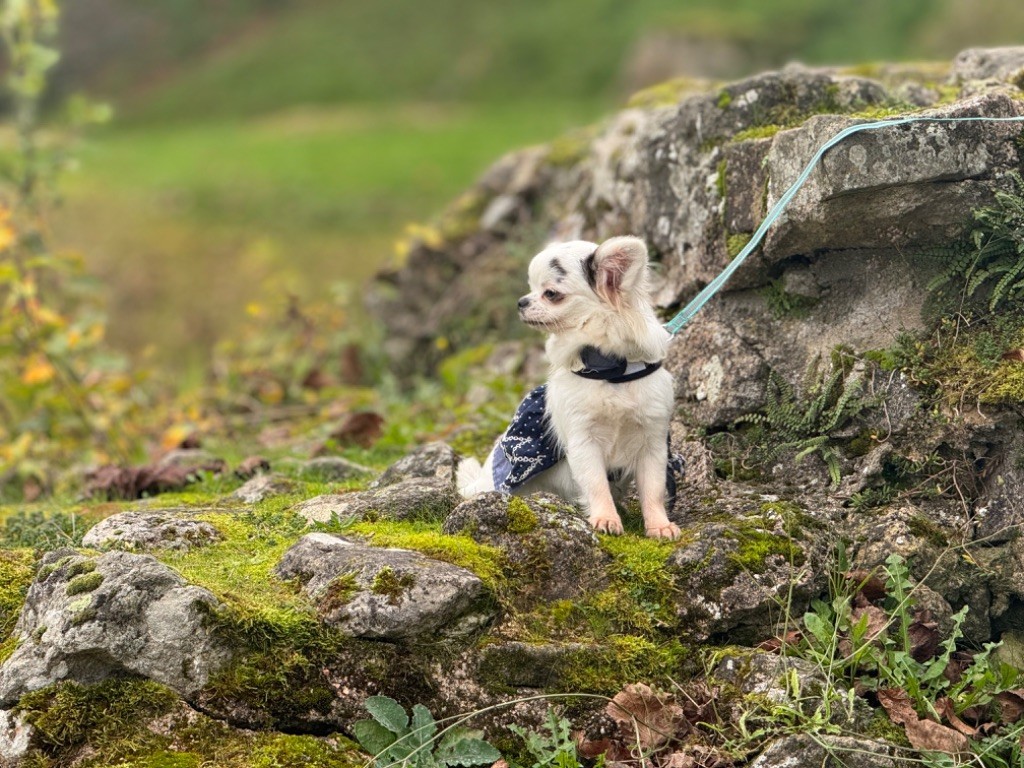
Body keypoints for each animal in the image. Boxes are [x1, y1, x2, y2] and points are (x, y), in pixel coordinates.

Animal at [454, 236, 679, 540]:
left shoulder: (653, 443)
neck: (610, 371)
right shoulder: (583, 440)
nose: (521, 301)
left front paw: (659, 525)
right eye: (531, 288)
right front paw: (606, 519)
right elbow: (596, 484)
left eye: (550, 293)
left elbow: (653, 489)